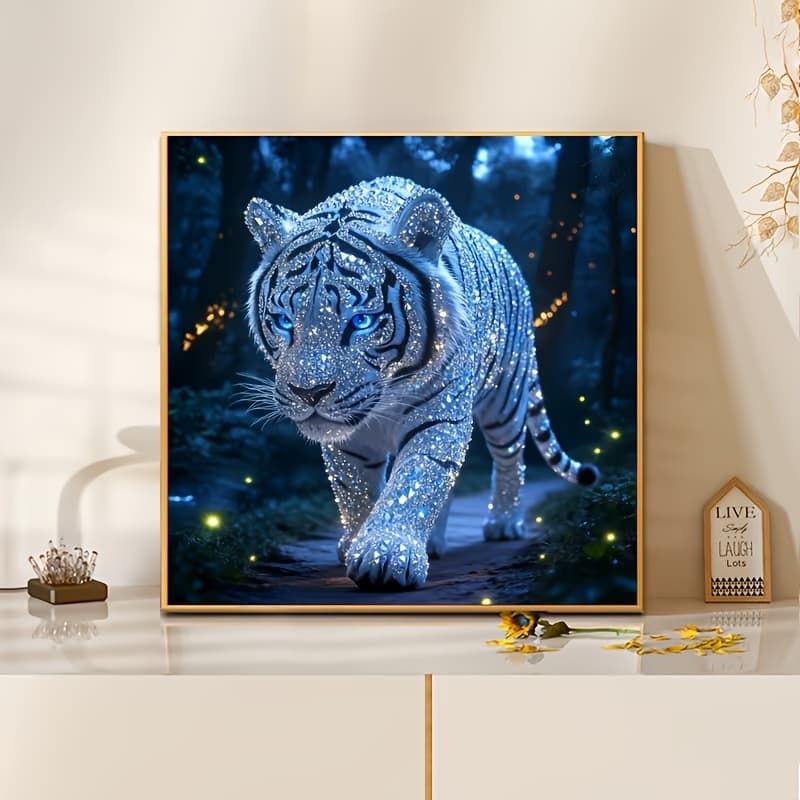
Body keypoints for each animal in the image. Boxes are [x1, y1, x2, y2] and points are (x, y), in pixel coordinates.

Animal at [244, 175, 598, 590]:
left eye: (362, 321)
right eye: (284, 321)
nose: (309, 393)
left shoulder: (440, 417)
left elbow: (415, 481)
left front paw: (386, 554)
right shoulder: (347, 437)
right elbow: (356, 491)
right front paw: (358, 542)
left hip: (506, 398)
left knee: (511, 458)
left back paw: (504, 523)